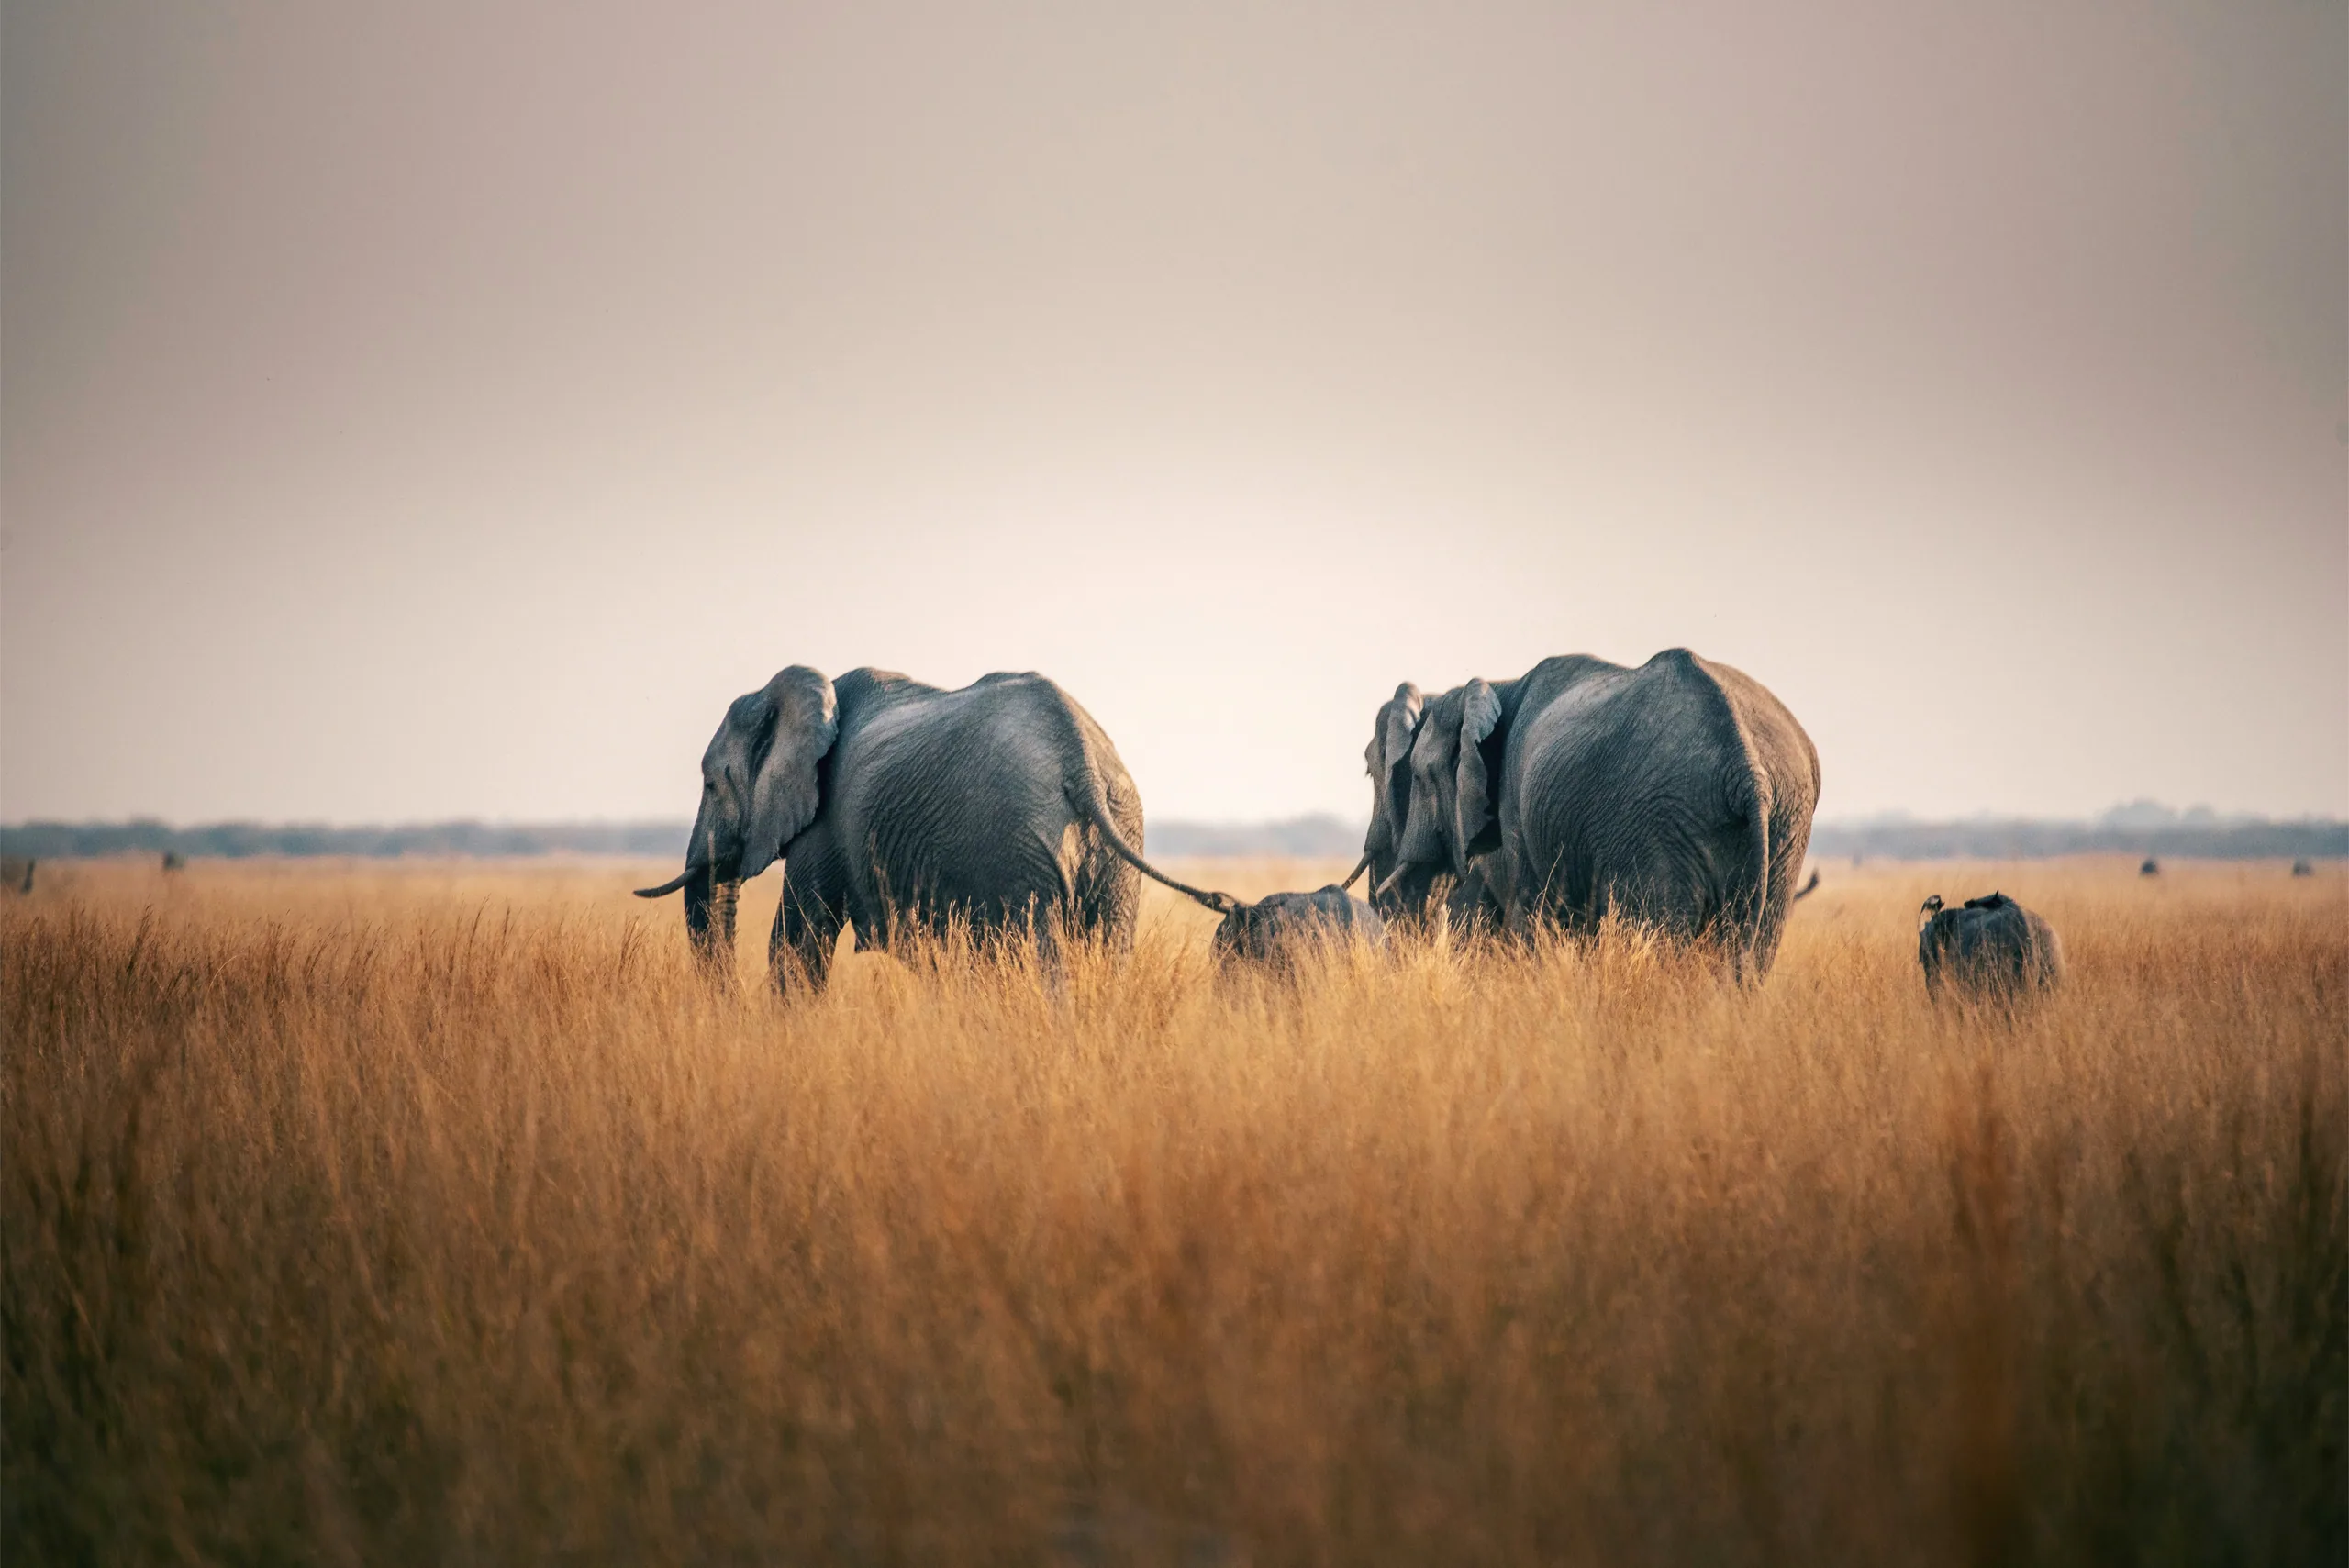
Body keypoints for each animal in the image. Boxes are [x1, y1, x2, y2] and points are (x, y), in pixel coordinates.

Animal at [636, 666, 1237, 991]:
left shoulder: (824, 823)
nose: (730, 1007)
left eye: (711, 783)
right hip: (1116, 834)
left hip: (1016, 843)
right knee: (1106, 953)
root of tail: (1081, 753)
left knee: (1039, 960)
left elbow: (798, 940)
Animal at [1361, 648, 1820, 978]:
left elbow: (1513, 916)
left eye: (1418, 776)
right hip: (1783, 832)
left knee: (1661, 938)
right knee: (1756, 944)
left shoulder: (1511, 813)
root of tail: (1748, 771)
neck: (1495, 687)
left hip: (1658, 824)